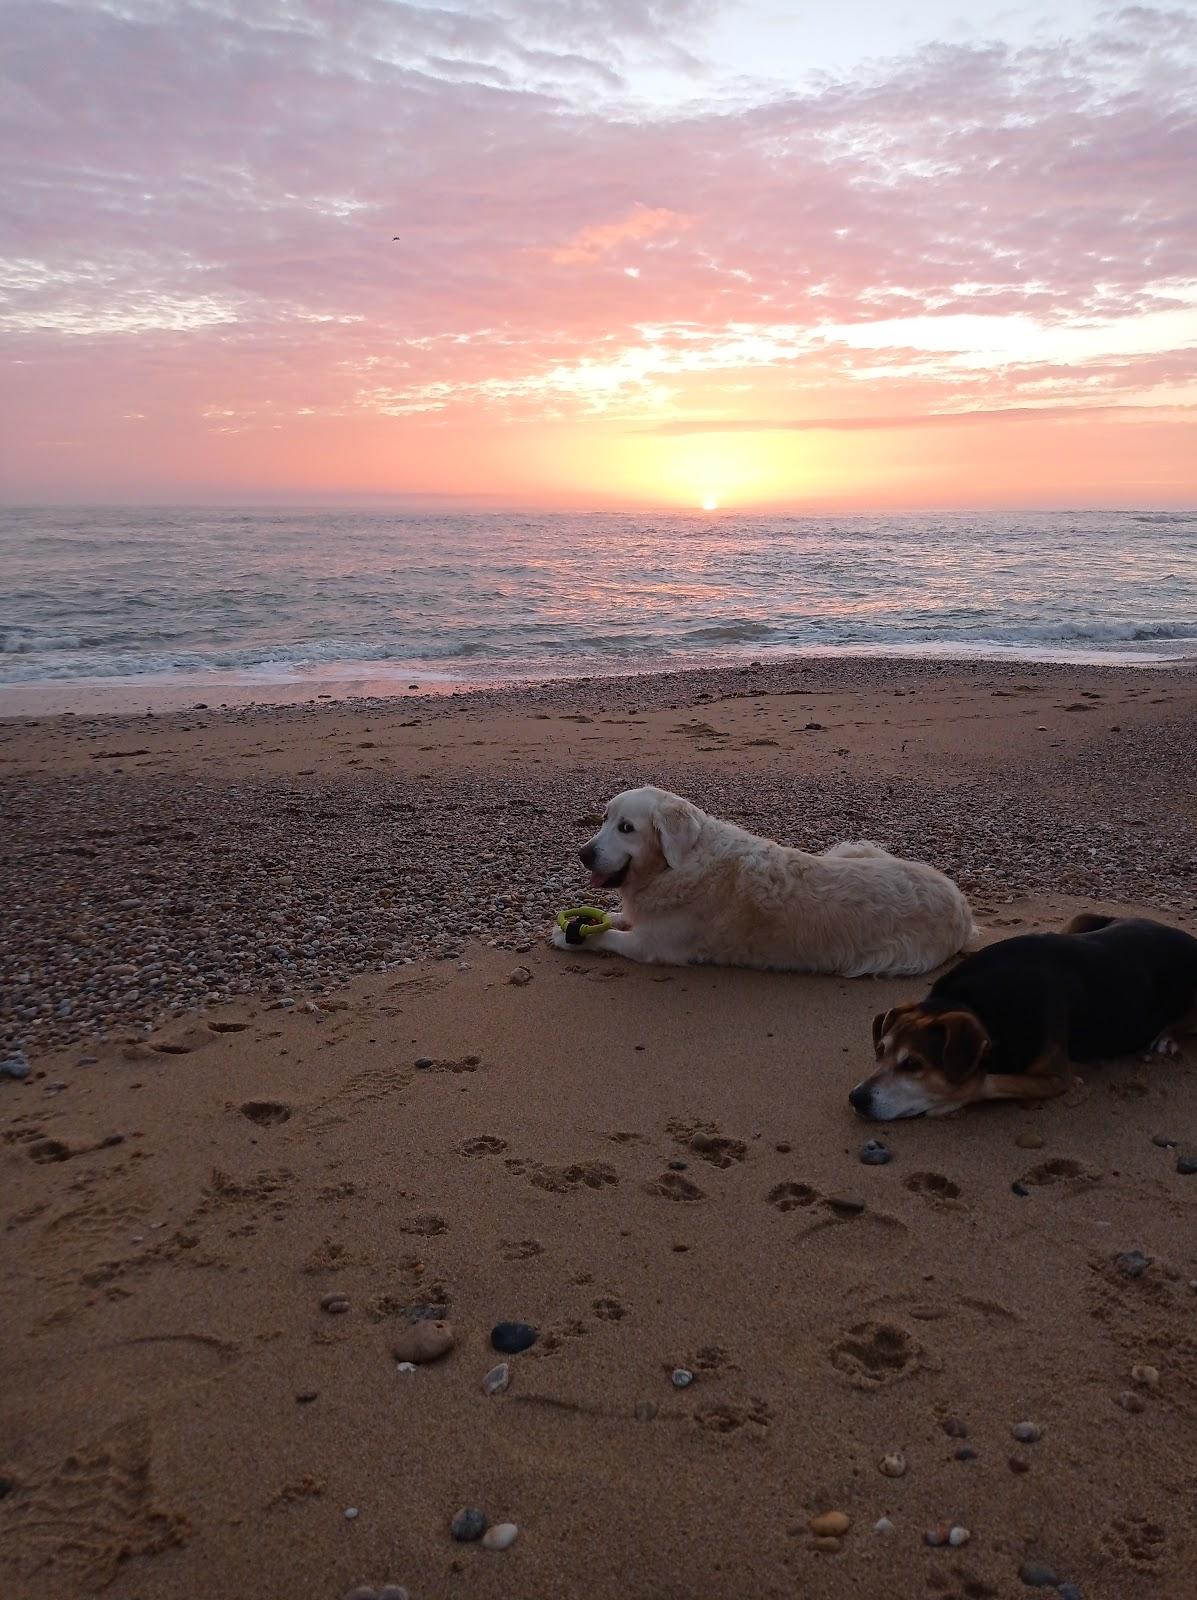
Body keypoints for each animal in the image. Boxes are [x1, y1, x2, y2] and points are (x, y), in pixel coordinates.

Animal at [547, 784, 979, 972]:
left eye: (626, 828)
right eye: (604, 819)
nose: (583, 854)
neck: (678, 864)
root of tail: (963, 908)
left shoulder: (650, 946)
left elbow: (607, 937)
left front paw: (571, 936)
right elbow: (614, 917)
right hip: (854, 847)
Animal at [844, 915, 1197, 1126]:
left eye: (913, 1064)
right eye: (880, 1050)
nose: (856, 1098)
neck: (976, 1005)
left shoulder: (1056, 1077)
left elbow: (984, 1082)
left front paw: (952, 1097)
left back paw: (1167, 1038)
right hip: (1082, 918)